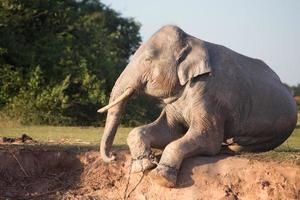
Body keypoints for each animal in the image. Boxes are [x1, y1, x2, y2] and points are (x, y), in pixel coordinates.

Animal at [98, 24, 298, 188]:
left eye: (147, 59)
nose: (113, 156)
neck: (193, 41)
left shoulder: (209, 95)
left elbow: (206, 138)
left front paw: (161, 177)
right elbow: (167, 132)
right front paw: (143, 165)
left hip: (271, 133)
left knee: (237, 143)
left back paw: (225, 148)